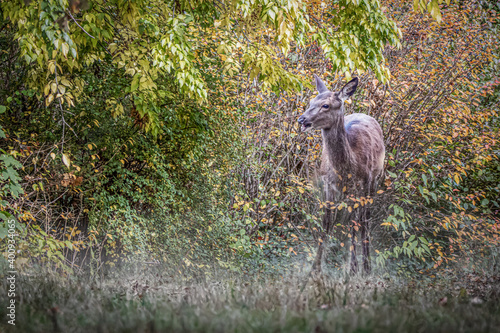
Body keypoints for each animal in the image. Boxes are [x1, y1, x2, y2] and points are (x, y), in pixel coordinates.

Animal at [296, 76, 386, 274]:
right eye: (311, 101)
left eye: (326, 105)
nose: (301, 119)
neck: (347, 167)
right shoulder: (328, 184)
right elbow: (327, 222)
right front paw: (315, 268)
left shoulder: (362, 182)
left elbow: (356, 222)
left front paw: (355, 268)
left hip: (374, 180)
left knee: (364, 218)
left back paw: (365, 265)